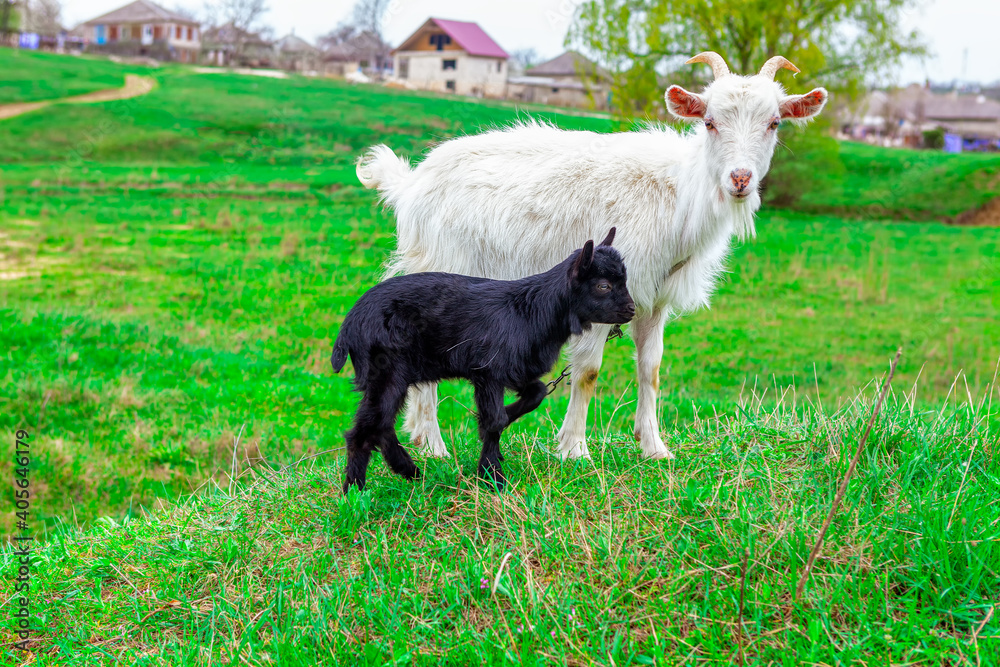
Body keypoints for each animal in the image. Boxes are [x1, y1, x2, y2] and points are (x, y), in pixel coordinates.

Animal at [331, 229, 634, 492]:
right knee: (367, 429)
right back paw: (361, 489)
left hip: (387, 377)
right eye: (603, 285)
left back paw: (397, 475)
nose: (631, 310)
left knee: (376, 425)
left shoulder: (514, 369)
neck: (533, 311)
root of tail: (350, 324)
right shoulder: (488, 371)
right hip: (387, 371)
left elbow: (534, 394)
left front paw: (497, 436)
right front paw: (492, 477)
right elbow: (495, 420)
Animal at [356, 52, 828, 461]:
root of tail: (410, 184)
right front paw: (575, 450)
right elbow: (588, 370)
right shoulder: (597, 296)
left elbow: (651, 369)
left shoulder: (653, 299)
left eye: (774, 123)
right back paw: (434, 445)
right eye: (710, 122)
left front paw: (653, 447)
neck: (676, 192)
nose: (740, 179)